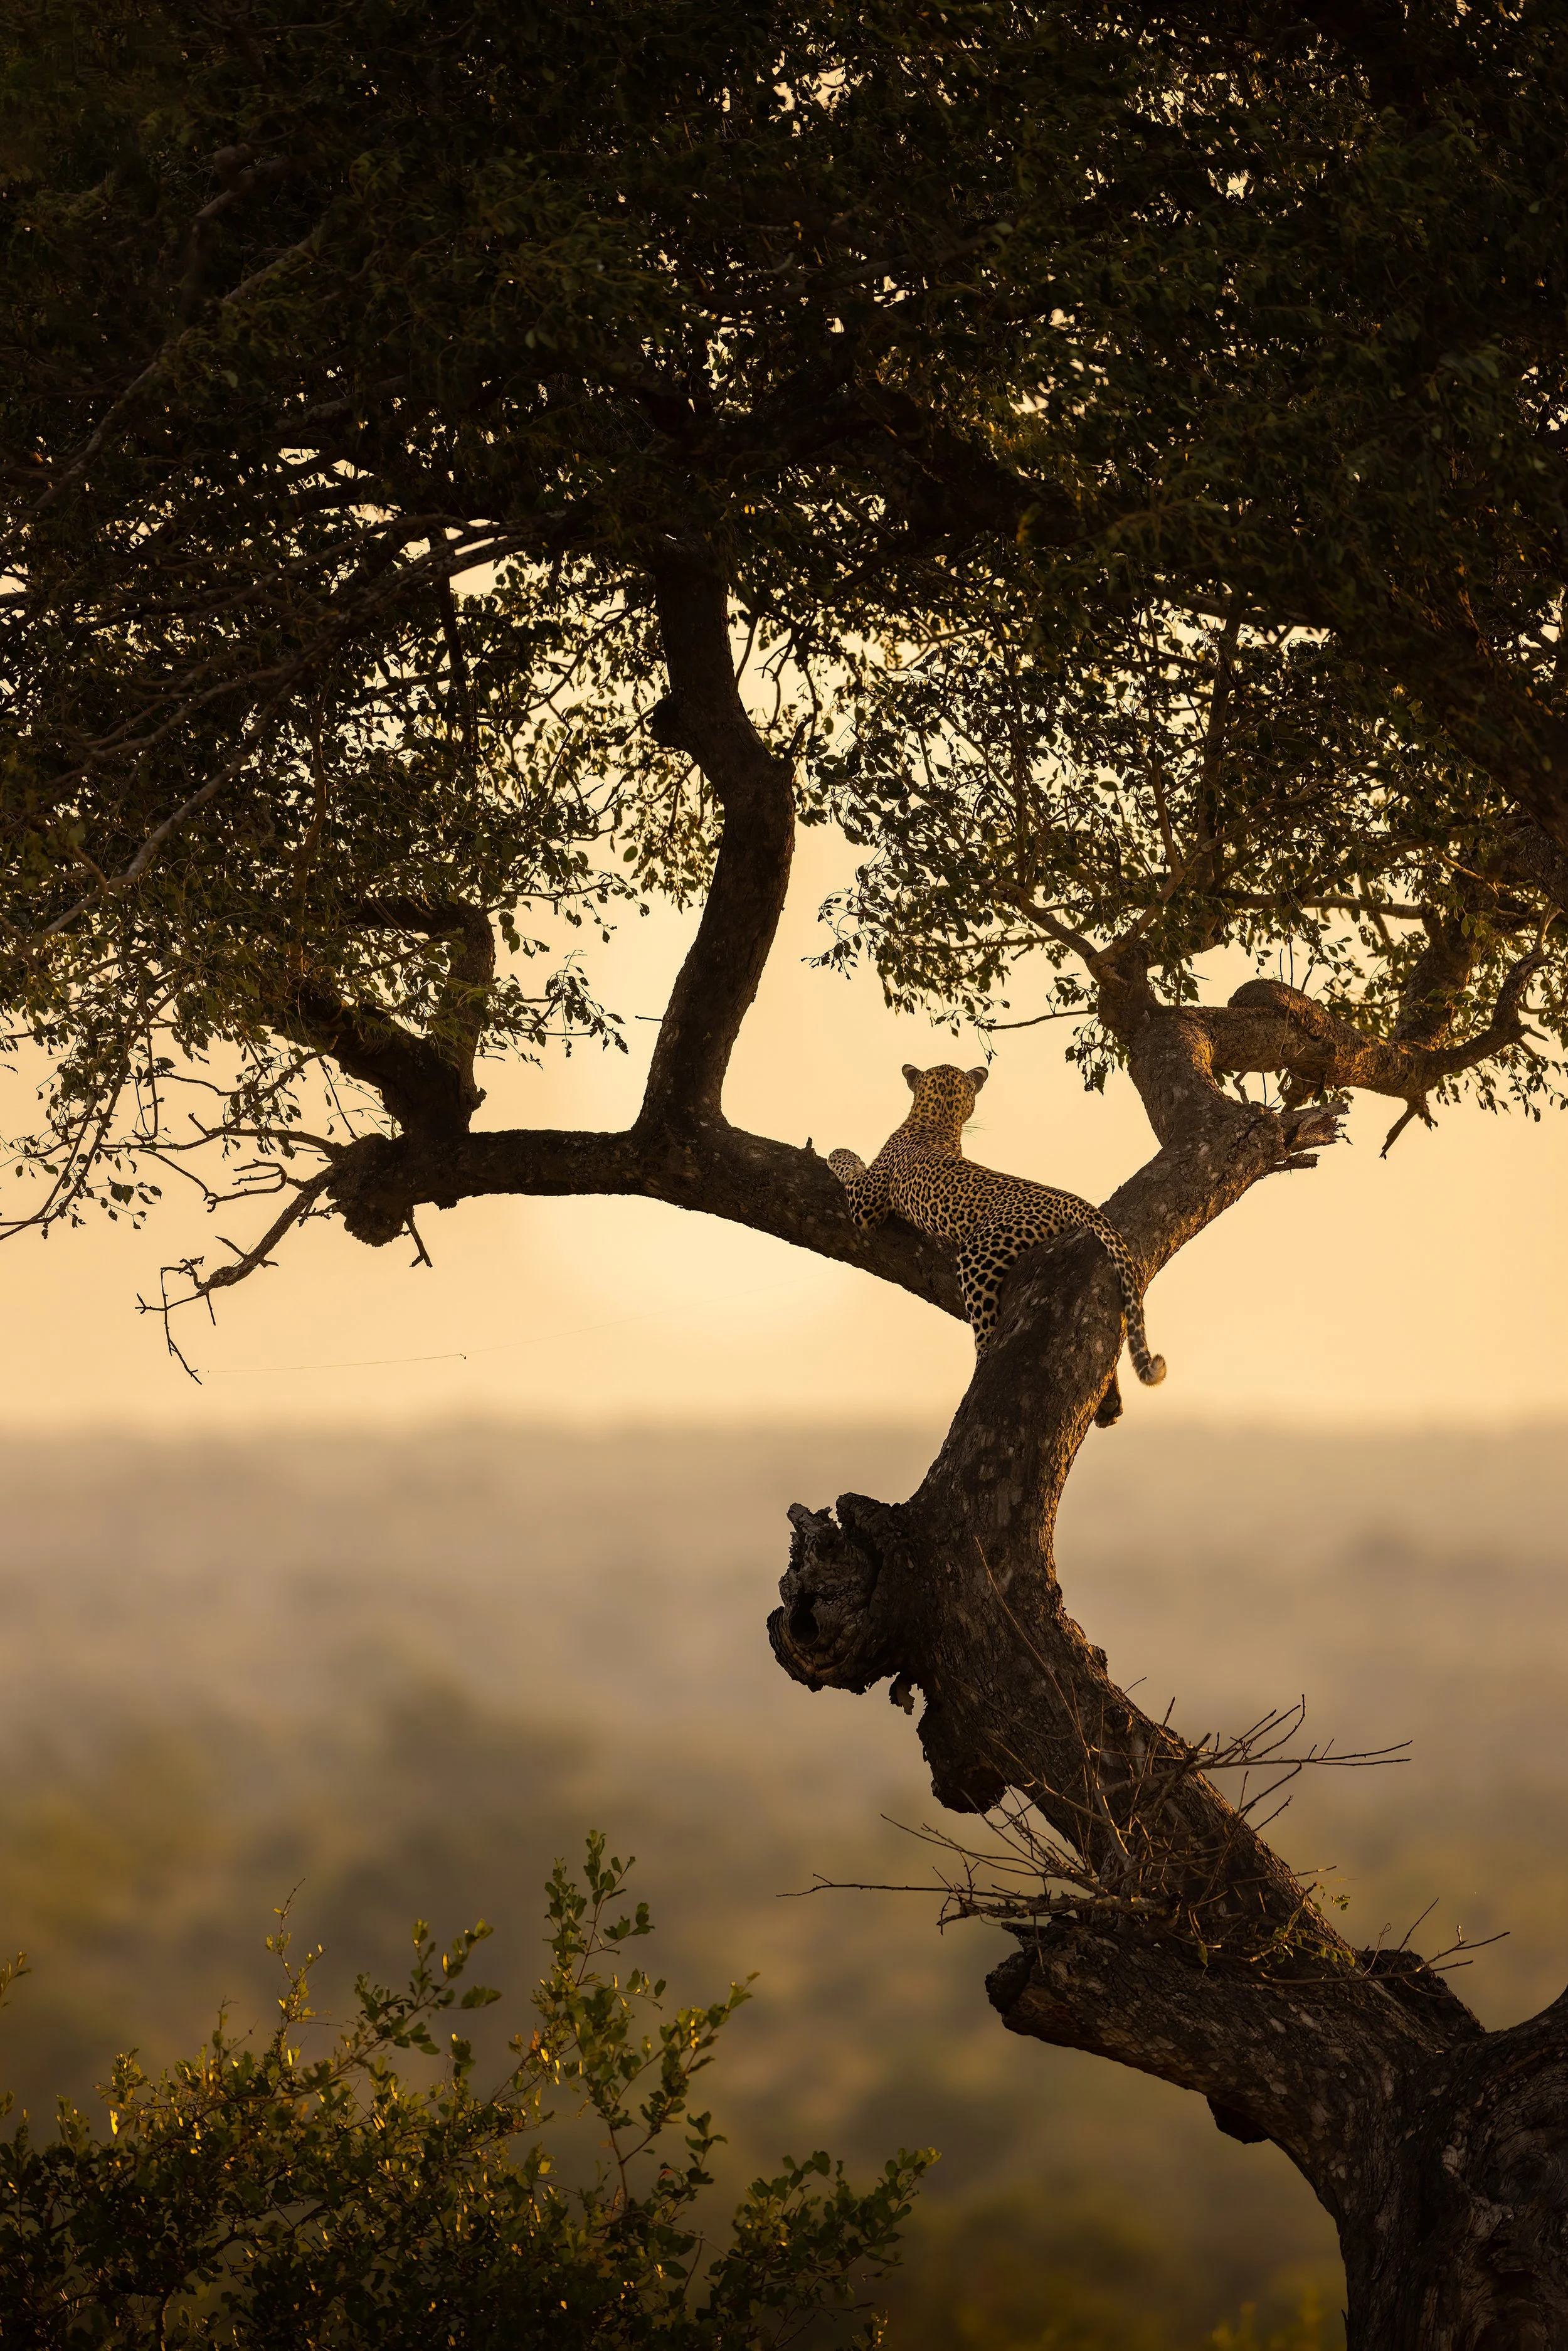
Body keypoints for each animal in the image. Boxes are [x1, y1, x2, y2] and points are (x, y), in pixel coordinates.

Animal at [827, 1062, 1166, 1387]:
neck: (936, 1121)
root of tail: (1065, 1197)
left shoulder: (866, 1200)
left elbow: (851, 1168)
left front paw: (839, 1153)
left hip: (977, 1254)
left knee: (986, 1328)